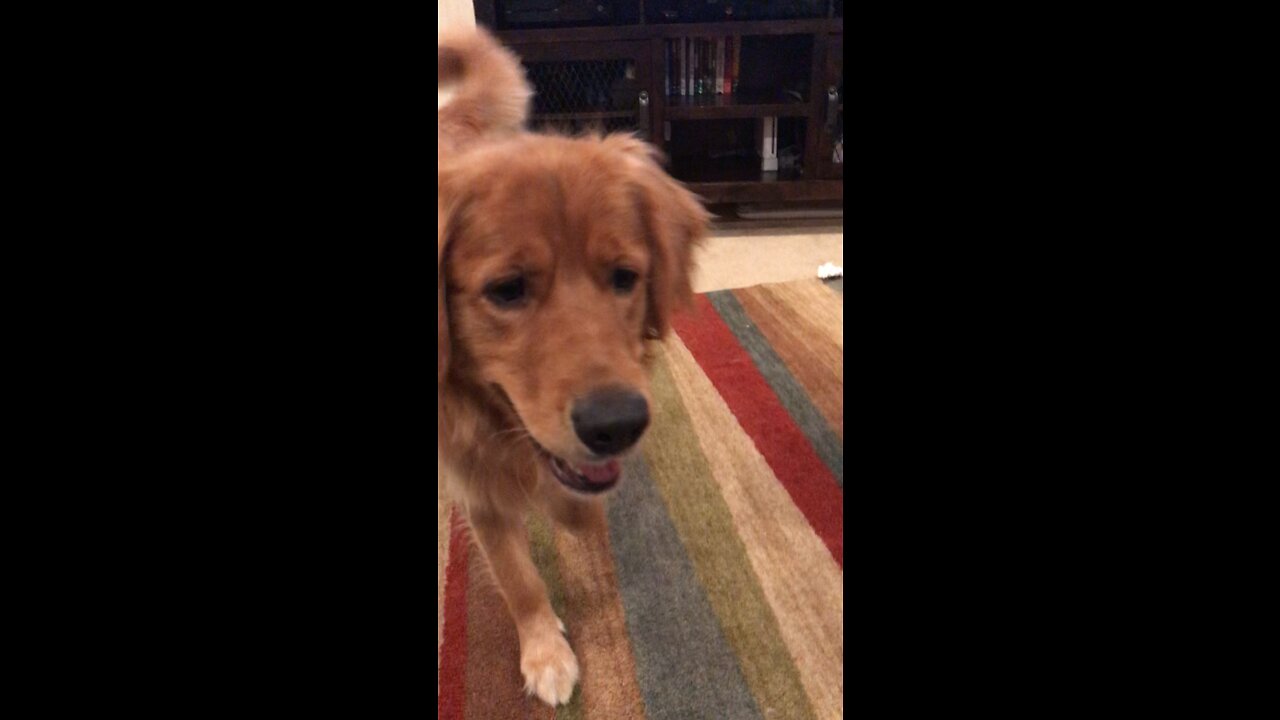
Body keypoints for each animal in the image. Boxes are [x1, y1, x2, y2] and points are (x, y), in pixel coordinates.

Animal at [435, 29, 706, 707]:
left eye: (625, 277)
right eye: (506, 290)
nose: (617, 425)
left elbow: (574, 500)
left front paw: (574, 511)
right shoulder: (476, 487)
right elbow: (519, 578)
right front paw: (545, 652)